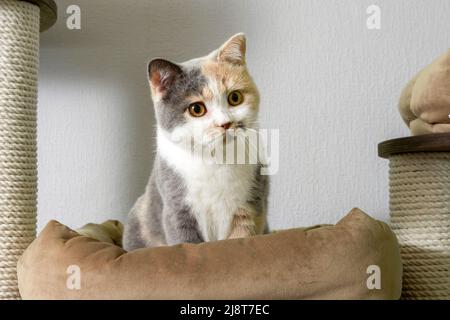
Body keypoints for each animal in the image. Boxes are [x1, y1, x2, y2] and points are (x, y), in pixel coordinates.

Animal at [122, 34, 268, 250]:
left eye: (235, 97)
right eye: (196, 109)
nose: (225, 124)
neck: (216, 161)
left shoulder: (251, 205)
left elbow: (240, 239)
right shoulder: (177, 210)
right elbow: (186, 242)